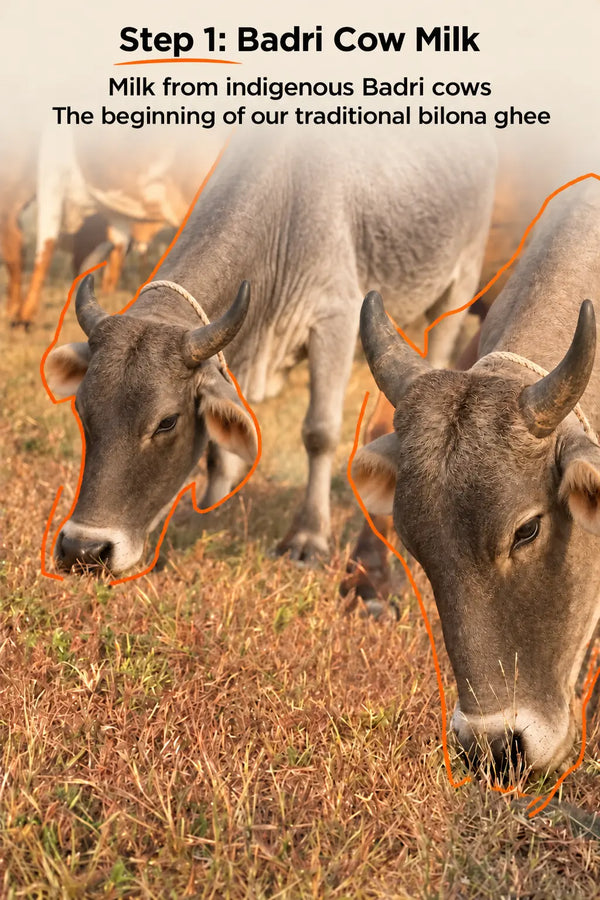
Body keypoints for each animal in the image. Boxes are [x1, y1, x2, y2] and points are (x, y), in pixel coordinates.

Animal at [45, 129, 496, 576]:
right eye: (82, 409)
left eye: (166, 422)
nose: (82, 549)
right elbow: (220, 443)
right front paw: (209, 508)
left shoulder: (336, 318)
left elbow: (319, 432)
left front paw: (307, 538)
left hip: (457, 285)